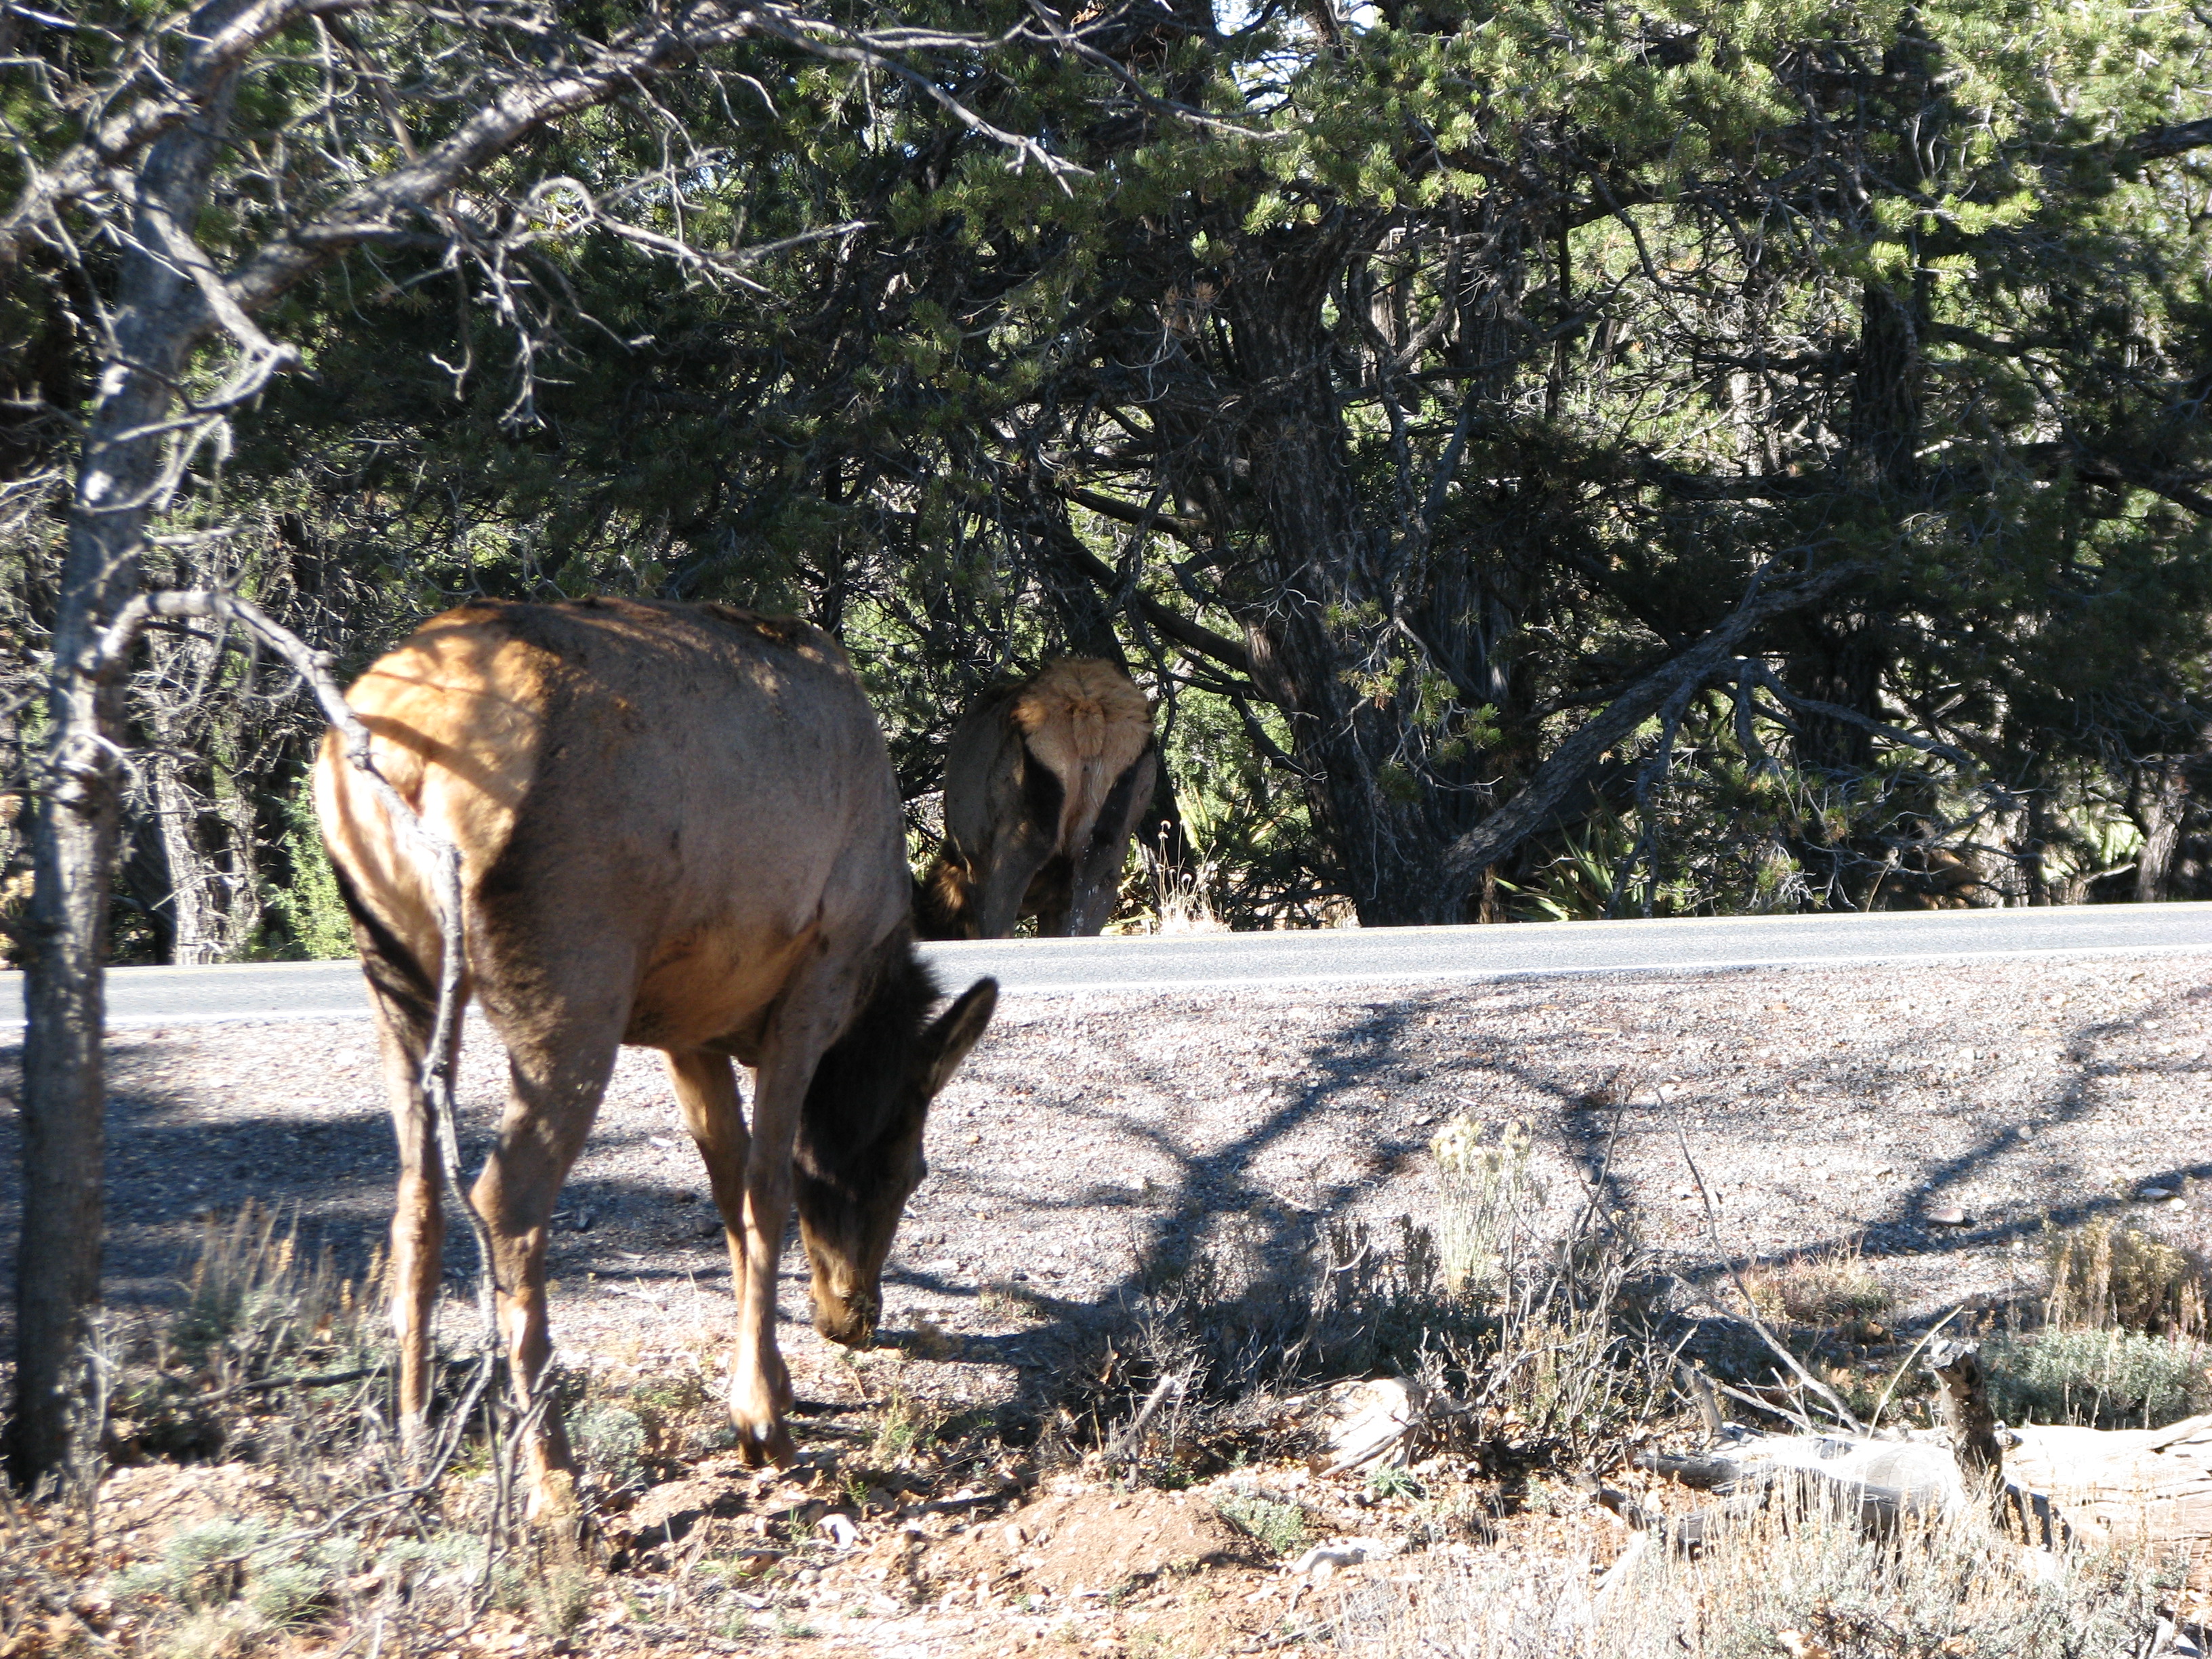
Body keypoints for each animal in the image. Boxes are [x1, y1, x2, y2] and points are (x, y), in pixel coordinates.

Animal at [316, 601, 1000, 1504]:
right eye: (909, 1168)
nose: (856, 1317)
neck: (874, 985)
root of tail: (392, 756)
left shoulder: (688, 1027)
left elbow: (727, 1191)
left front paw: (773, 1383)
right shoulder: (813, 984)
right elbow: (768, 1187)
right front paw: (762, 1423)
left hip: (395, 973)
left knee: (415, 1186)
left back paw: (413, 1437)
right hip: (575, 975)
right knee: (506, 1197)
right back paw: (554, 1484)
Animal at [916, 659, 1159, 942]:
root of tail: (1087, 707)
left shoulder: (975, 859)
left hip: (1025, 824)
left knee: (1003, 908)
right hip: (1113, 833)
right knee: (1093, 899)